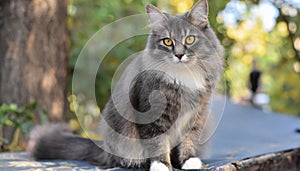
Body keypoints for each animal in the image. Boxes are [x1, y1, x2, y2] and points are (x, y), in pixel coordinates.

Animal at [27, 0, 224, 170]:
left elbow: (188, 140)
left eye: (190, 39)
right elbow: (157, 142)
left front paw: (188, 161)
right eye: (167, 41)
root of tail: (105, 148)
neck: (182, 76)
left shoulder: (198, 113)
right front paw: (161, 165)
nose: (179, 55)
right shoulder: (152, 112)